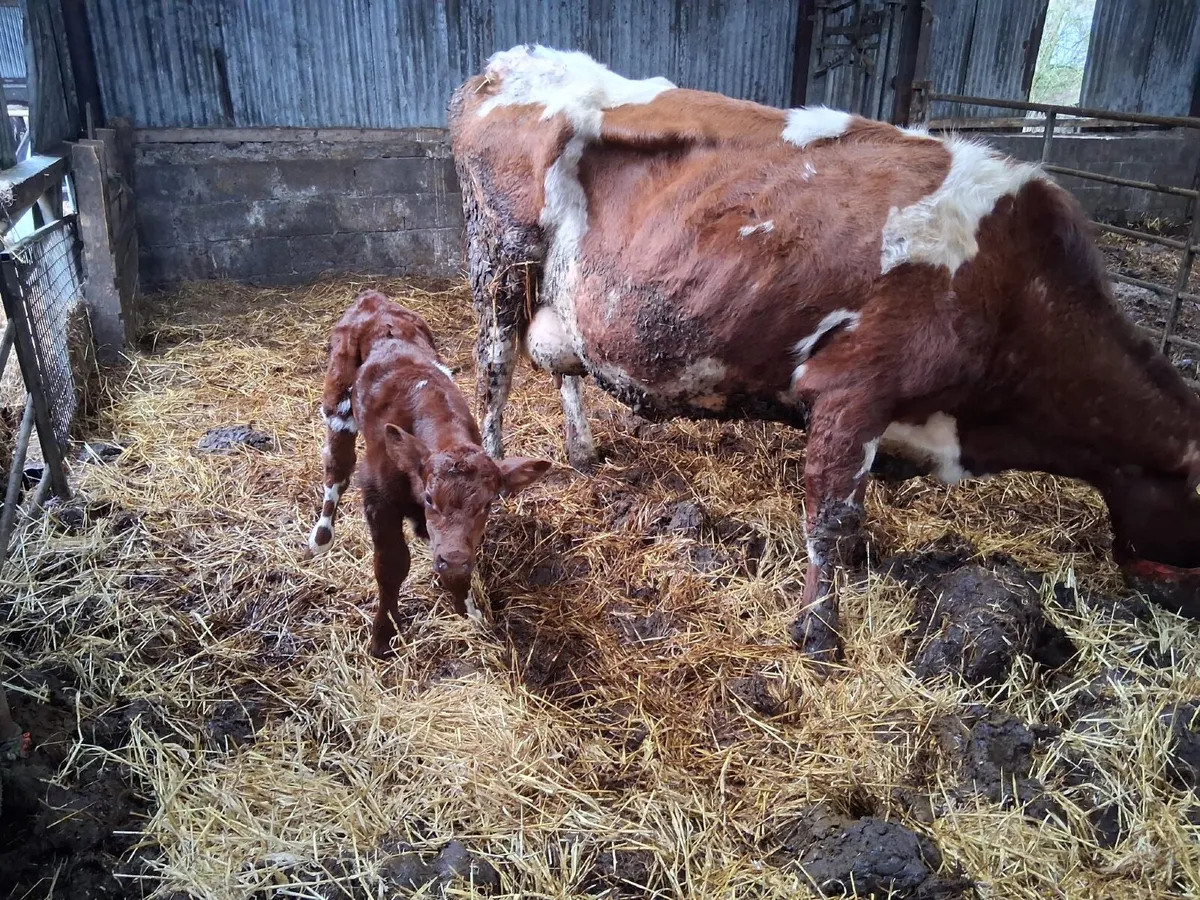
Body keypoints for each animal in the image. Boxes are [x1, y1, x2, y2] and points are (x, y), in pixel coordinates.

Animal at [310, 290, 552, 657]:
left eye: (487, 505)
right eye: (429, 497)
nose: (453, 561)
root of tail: (372, 298)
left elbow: (455, 557)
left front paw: (468, 610)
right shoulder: (378, 496)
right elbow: (392, 565)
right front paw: (383, 636)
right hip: (337, 396)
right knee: (337, 465)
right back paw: (321, 537)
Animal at [448, 44, 1200, 659]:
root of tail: (505, 64)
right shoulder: (853, 387)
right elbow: (832, 519)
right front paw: (817, 633)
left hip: (556, 289)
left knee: (562, 362)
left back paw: (580, 451)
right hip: (499, 261)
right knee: (495, 376)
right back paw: (493, 490)